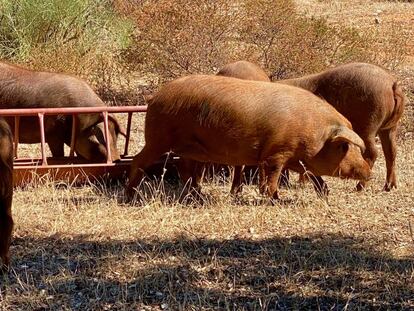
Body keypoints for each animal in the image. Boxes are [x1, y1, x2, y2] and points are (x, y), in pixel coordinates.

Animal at [127, 75, 372, 200]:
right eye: (345, 147)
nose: (369, 171)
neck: (315, 131)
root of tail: (155, 96)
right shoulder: (277, 152)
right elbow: (271, 178)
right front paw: (277, 200)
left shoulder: (297, 158)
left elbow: (315, 177)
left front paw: (325, 195)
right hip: (158, 137)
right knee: (139, 160)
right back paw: (131, 196)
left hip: (187, 147)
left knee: (184, 169)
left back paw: (198, 195)